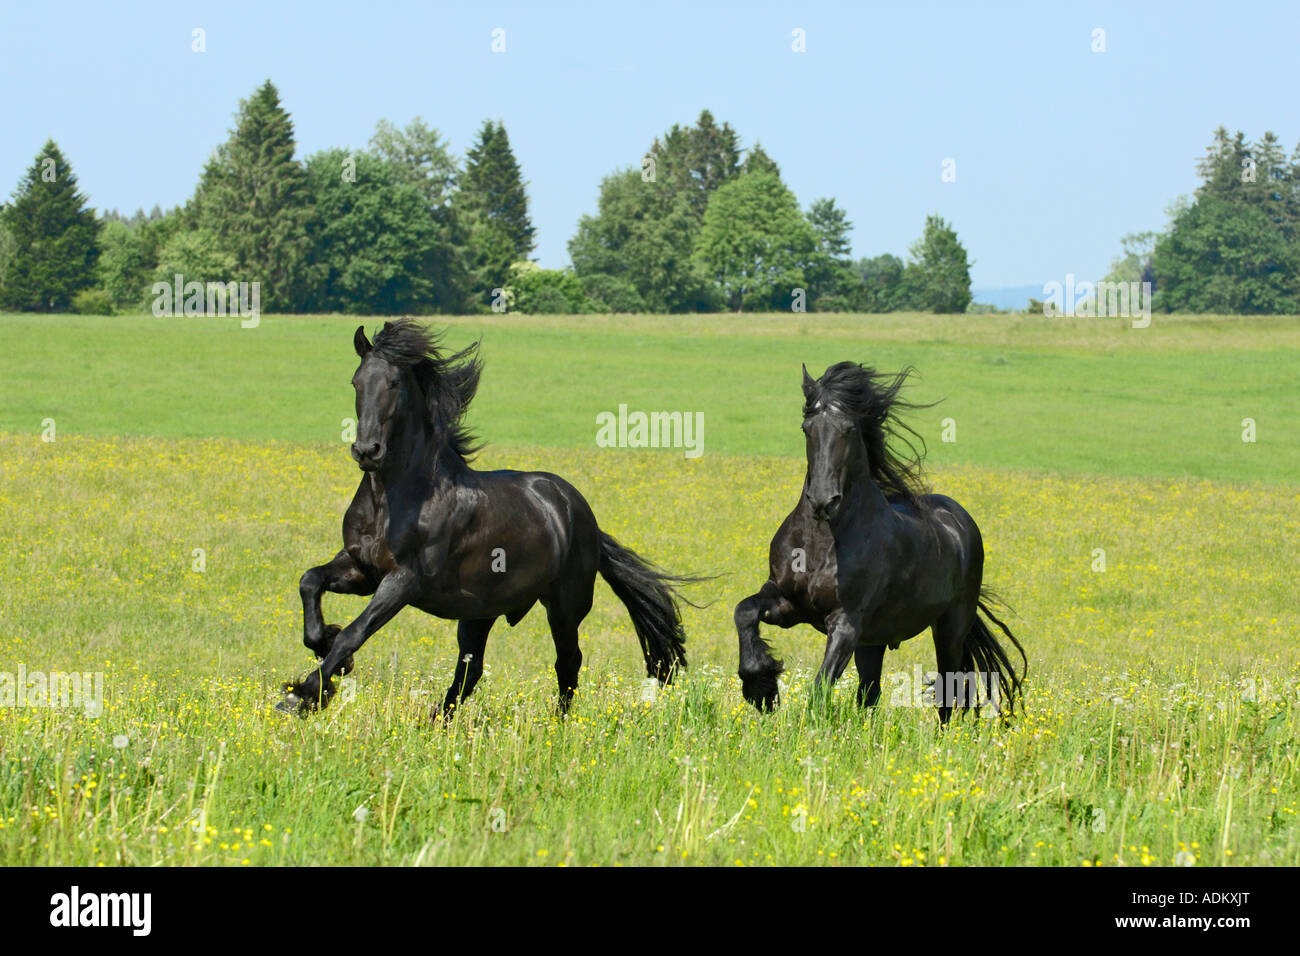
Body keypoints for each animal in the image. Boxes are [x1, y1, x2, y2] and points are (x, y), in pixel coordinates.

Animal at [279, 320, 699, 717]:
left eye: (393, 383)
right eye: (356, 382)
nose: (367, 451)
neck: (392, 499)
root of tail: (582, 515)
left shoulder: (403, 580)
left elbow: (356, 631)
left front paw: (303, 695)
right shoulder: (361, 569)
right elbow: (309, 582)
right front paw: (325, 648)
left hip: (564, 606)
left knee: (567, 662)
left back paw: (558, 724)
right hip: (478, 612)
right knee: (471, 670)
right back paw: (436, 723)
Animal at [734, 362, 1026, 721]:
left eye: (848, 429)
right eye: (807, 428)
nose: (823, 500)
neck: (821, 542)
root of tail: (960, 521)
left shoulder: (846, 623)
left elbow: (819, 689)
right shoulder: (786, 603)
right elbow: (744, 611)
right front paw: (761, 688)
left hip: (949, 628)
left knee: (948, 692)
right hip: (872, 642)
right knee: (870, 693)